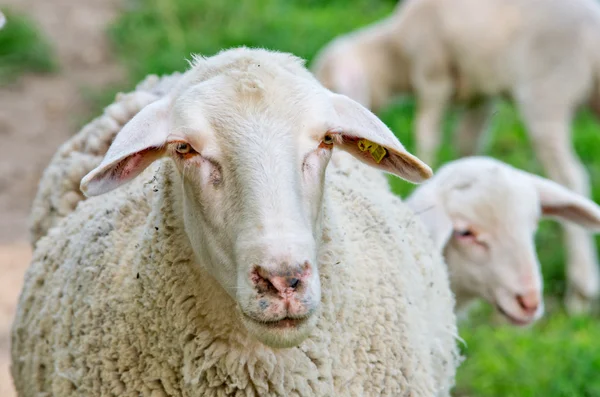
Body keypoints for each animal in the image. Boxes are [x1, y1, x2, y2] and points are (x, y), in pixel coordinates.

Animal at [310, 0, 600, 312]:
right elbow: (467, 140)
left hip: (547, 90)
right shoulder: (478, 95)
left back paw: (581, 288)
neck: (395, 54)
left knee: (571, 176)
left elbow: (427, 131)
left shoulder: (433, 74)